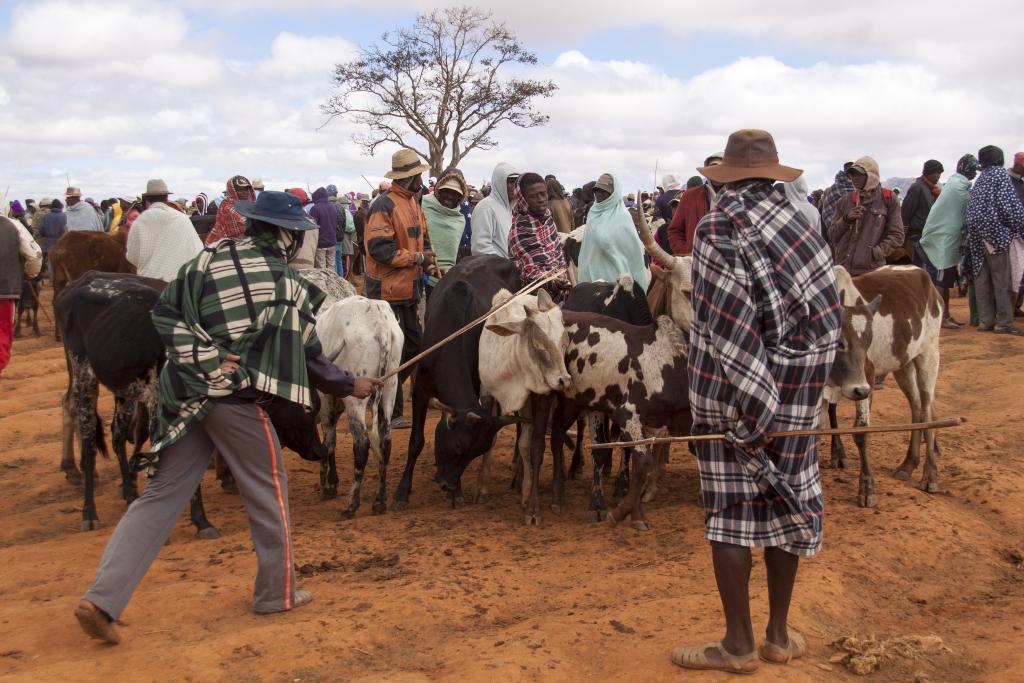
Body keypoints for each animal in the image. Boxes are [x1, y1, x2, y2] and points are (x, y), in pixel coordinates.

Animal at [827, 266, 937, 507]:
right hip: (903, 364)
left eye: (867, 339)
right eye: (839, 342)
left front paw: (867, 488)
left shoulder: (866, 376)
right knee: (916, 405)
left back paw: (930, 475)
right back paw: (908, 464)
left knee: (927, 409)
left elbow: (861, 432)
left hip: (929, 354)